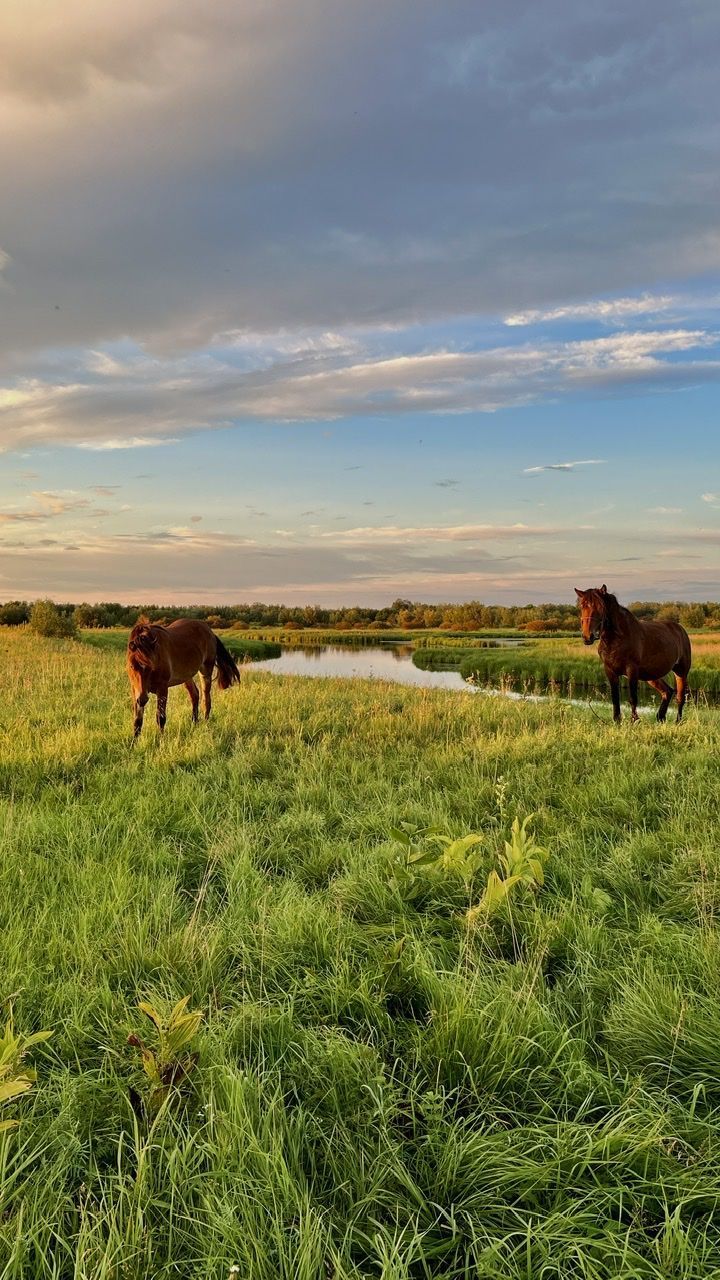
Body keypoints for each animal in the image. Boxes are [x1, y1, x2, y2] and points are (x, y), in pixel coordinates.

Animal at [571, 586, 691, 727]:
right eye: (582, 606)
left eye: (600, 607)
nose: (587, 636)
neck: (616, 640)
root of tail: (680, 629)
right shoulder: (610, 671)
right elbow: (615, 698)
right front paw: (617, 721)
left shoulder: (631, 670)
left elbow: (633, 698)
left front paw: (634, 721)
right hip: (650, 676)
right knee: (667, 691)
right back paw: (660, 717)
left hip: (681, 671)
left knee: (680, 697)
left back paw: (678, 721)